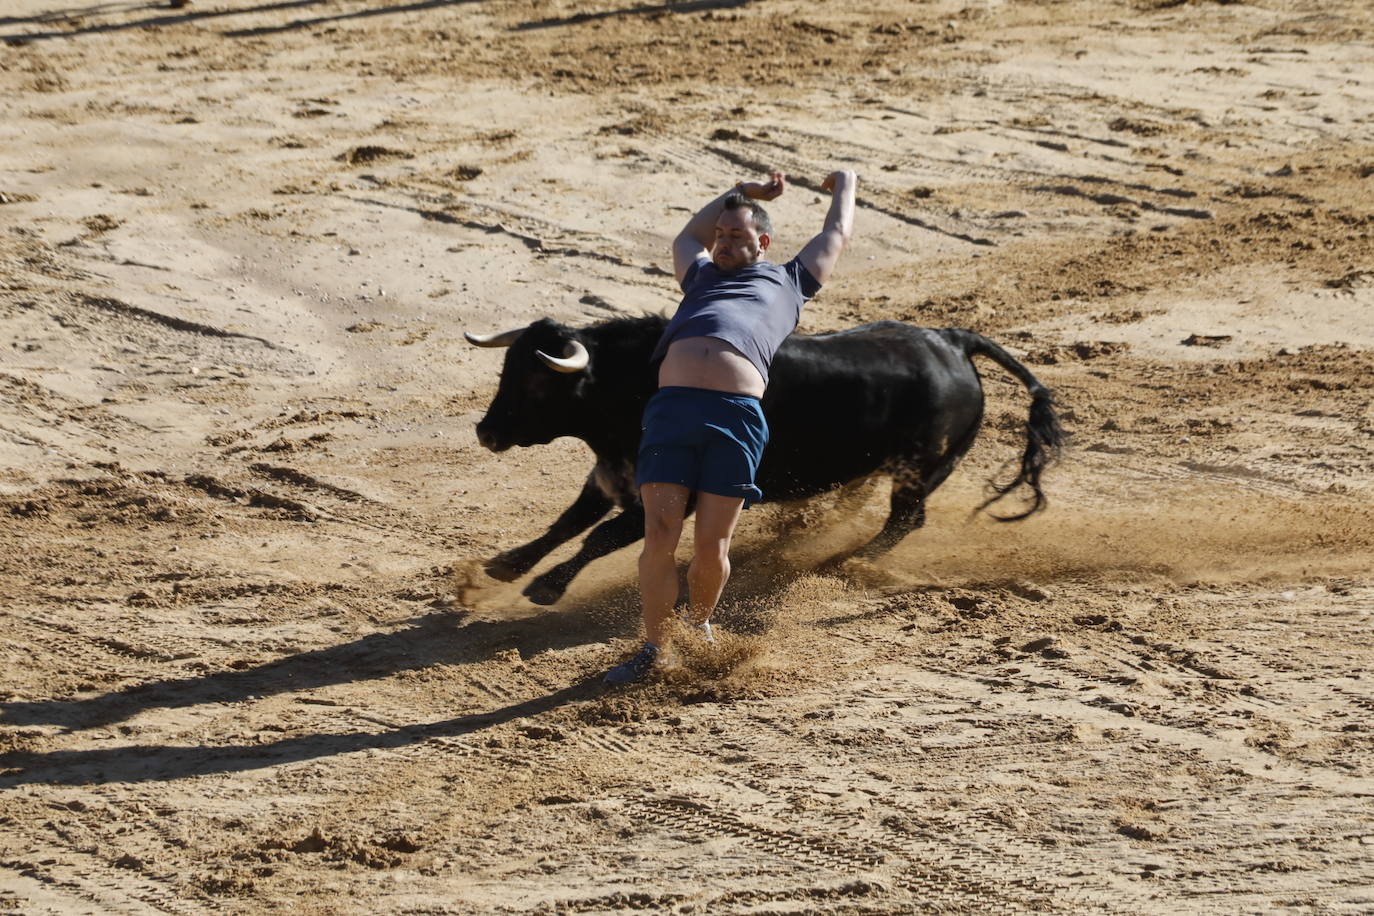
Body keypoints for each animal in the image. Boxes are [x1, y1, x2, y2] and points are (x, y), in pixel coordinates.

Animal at [464, 317, 1060, 609]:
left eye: (538, 382)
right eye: (506, 368)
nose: (486, 432)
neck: (634, 383)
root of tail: (953, 341)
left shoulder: (674, 496)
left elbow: (599, 536)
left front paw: (546, 588)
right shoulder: (613, 474)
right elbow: (568, 522)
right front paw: (508, 565)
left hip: (920, 472)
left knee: (906, 520)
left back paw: (840, 564)